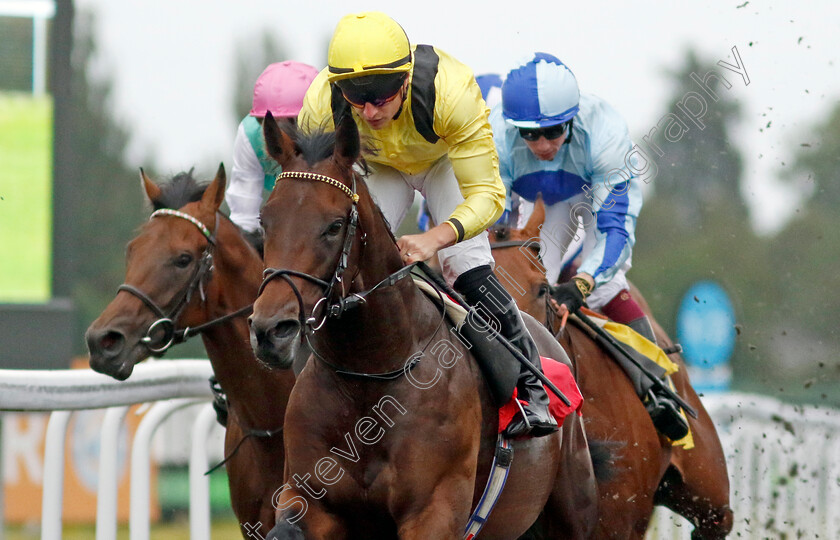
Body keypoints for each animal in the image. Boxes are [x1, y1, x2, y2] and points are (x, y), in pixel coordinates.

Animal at [246, 110, 600, 540]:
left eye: (333, 225)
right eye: (265, 221)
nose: (270, 331)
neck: (370, 374)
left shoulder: (433, 511)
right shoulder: (310, 500)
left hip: (575, 506)